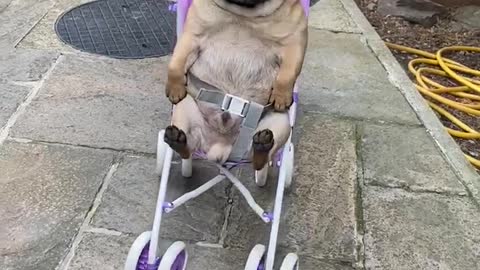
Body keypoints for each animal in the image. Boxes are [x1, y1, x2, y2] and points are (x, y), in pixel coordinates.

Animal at [164, 0, 308, 171]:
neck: (243, 15)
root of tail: (221, 148)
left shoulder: (293, 44)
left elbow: (286, 75)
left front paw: (281, 96)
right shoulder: (191, 37)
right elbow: (175, 65)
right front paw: (175, 88)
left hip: (280, 122)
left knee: (259, 161)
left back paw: (262, 145)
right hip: (184, 108)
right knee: (189, 150)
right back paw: (177, 140)